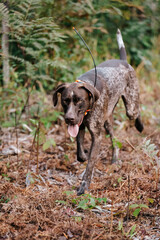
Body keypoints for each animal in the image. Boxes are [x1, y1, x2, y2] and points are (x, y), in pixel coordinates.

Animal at [53, 29, 143, 195]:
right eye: (65, 100)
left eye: (79, 100)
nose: (69, 119)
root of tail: (124, 61)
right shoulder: (80, 126)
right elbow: (80, 152)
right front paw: (83, 155)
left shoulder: (97, 136)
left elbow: (90, 164)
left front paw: (84, 185)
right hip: (107, 121)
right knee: (114, 140)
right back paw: (114, 159)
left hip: (131, 107)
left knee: (136, 111)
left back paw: (139, 126)